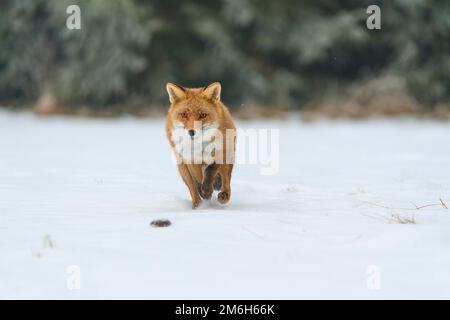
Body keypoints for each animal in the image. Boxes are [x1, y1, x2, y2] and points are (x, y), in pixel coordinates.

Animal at [165, 81, 236, 209]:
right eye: (184, 114)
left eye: (203, 115)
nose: (191, 132)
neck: (198, 147)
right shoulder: (186, 160)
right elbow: (194, 184)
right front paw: (200, 200)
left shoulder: (220, 152)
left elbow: (210, 171)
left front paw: (207, 190)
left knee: (225, 179)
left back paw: (224, 195)